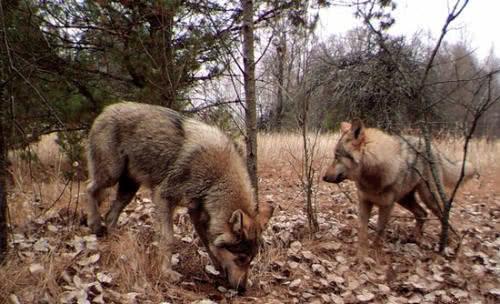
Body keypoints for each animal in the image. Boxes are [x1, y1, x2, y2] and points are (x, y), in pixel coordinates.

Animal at [87, 102, 274, 292]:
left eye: (251, 260)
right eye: (241, 258)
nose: (243, 289)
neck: (217, 179)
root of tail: (107, 109)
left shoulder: (196, 213)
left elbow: (209, 244)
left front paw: (218, 268)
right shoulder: (163, 198)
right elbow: (169, 239)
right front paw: (166, 272)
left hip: (128, 189)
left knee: (110, 214)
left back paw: (114, 239)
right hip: (111, 175)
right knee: (88, 189)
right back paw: (94, 224)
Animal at [322, 120, 474, 255]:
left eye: (336, 156)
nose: (323, 177)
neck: (373, 176)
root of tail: (433, 147)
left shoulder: (387, 205)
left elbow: (379, 230)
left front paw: (374, 252)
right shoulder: (364, 202)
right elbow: (362, 230)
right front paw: (361, 253)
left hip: (428, 197)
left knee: (443, 215)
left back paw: (449, 242)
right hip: (405, 200)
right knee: (423, 214)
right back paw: (415, 238)